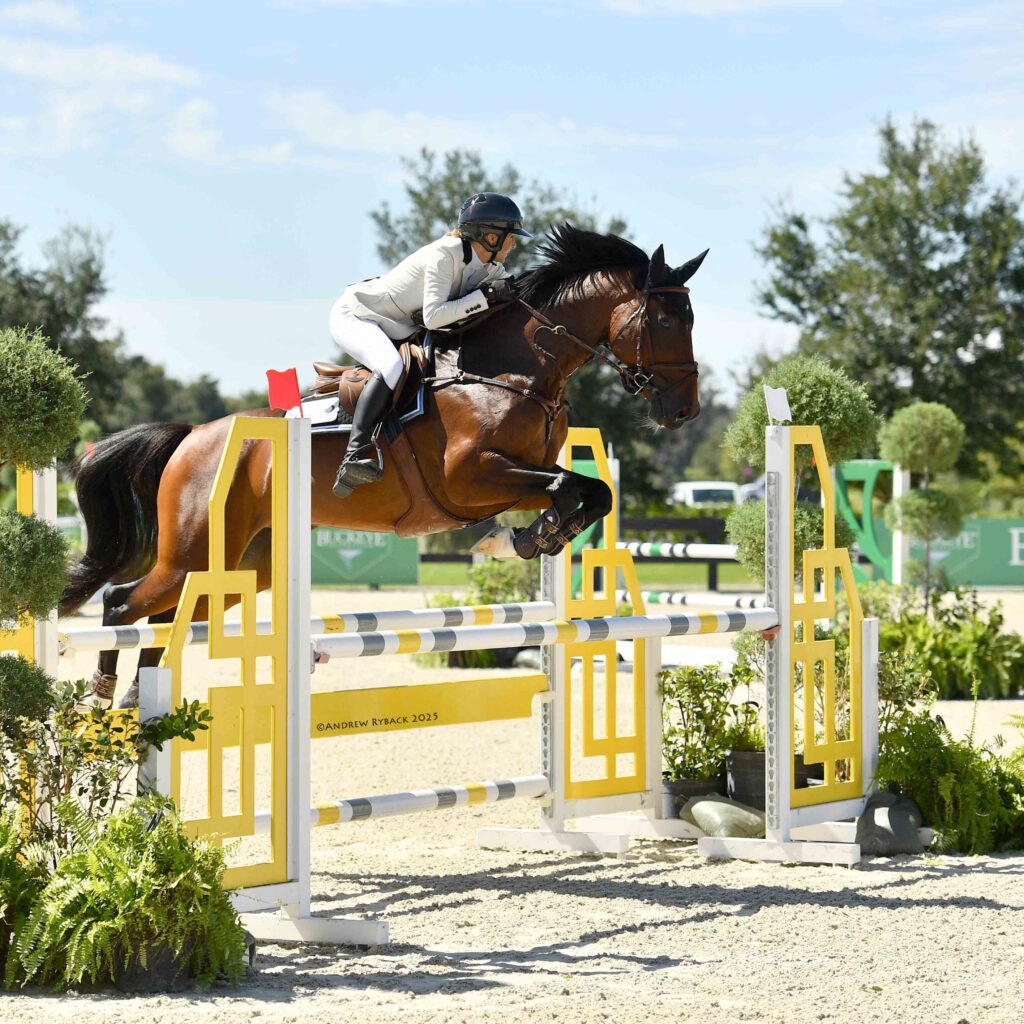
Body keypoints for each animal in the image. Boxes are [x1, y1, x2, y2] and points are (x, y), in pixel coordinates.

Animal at [61, 224, 706, 707]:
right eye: (666, 321)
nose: (683, 411)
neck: (511, 370)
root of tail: (193, 436)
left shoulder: (512, 479)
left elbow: (589, 493)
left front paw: (530, 537)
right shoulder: (472, 478)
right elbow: (572, 487)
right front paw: (529, 537)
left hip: (241, 565)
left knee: (167, 619)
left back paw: (139, 698)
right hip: (192, 552)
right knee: (122, 602)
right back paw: (105, 690)